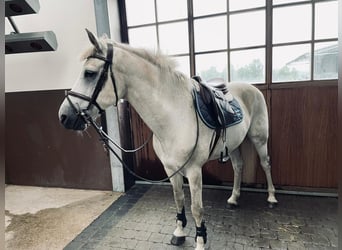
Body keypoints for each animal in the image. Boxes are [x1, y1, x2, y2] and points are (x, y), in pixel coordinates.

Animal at [59, 29, 278, 250]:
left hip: (259, 139)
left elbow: (197, 208)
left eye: (89, 73)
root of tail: (252, 89)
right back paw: (234, 198)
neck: (174, 115)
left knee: (266, 164)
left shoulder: (194, 171)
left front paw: (200, 240)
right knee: (238, 166)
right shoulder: (171, 168)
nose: (64, 116)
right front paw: (179, 232)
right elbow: (179, 199)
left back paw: (271, 197)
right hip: (233, 145)